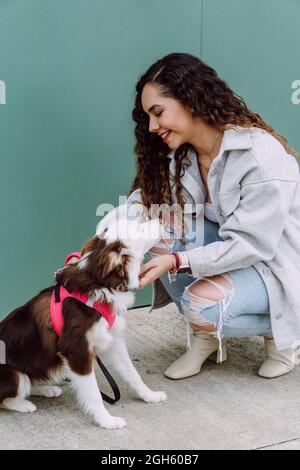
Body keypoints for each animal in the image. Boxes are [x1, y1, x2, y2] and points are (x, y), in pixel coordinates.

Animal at [0, 207, 166, 428]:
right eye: (139, 229)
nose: (162, 219)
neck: (102, 284)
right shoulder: (77, 351)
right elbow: (94, 394)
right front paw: (106, 420)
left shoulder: (113, 342)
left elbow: (133, 373)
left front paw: (149, 395)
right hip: (13, 373)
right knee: (8, 396)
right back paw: (23, 404)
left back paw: (45, 389)